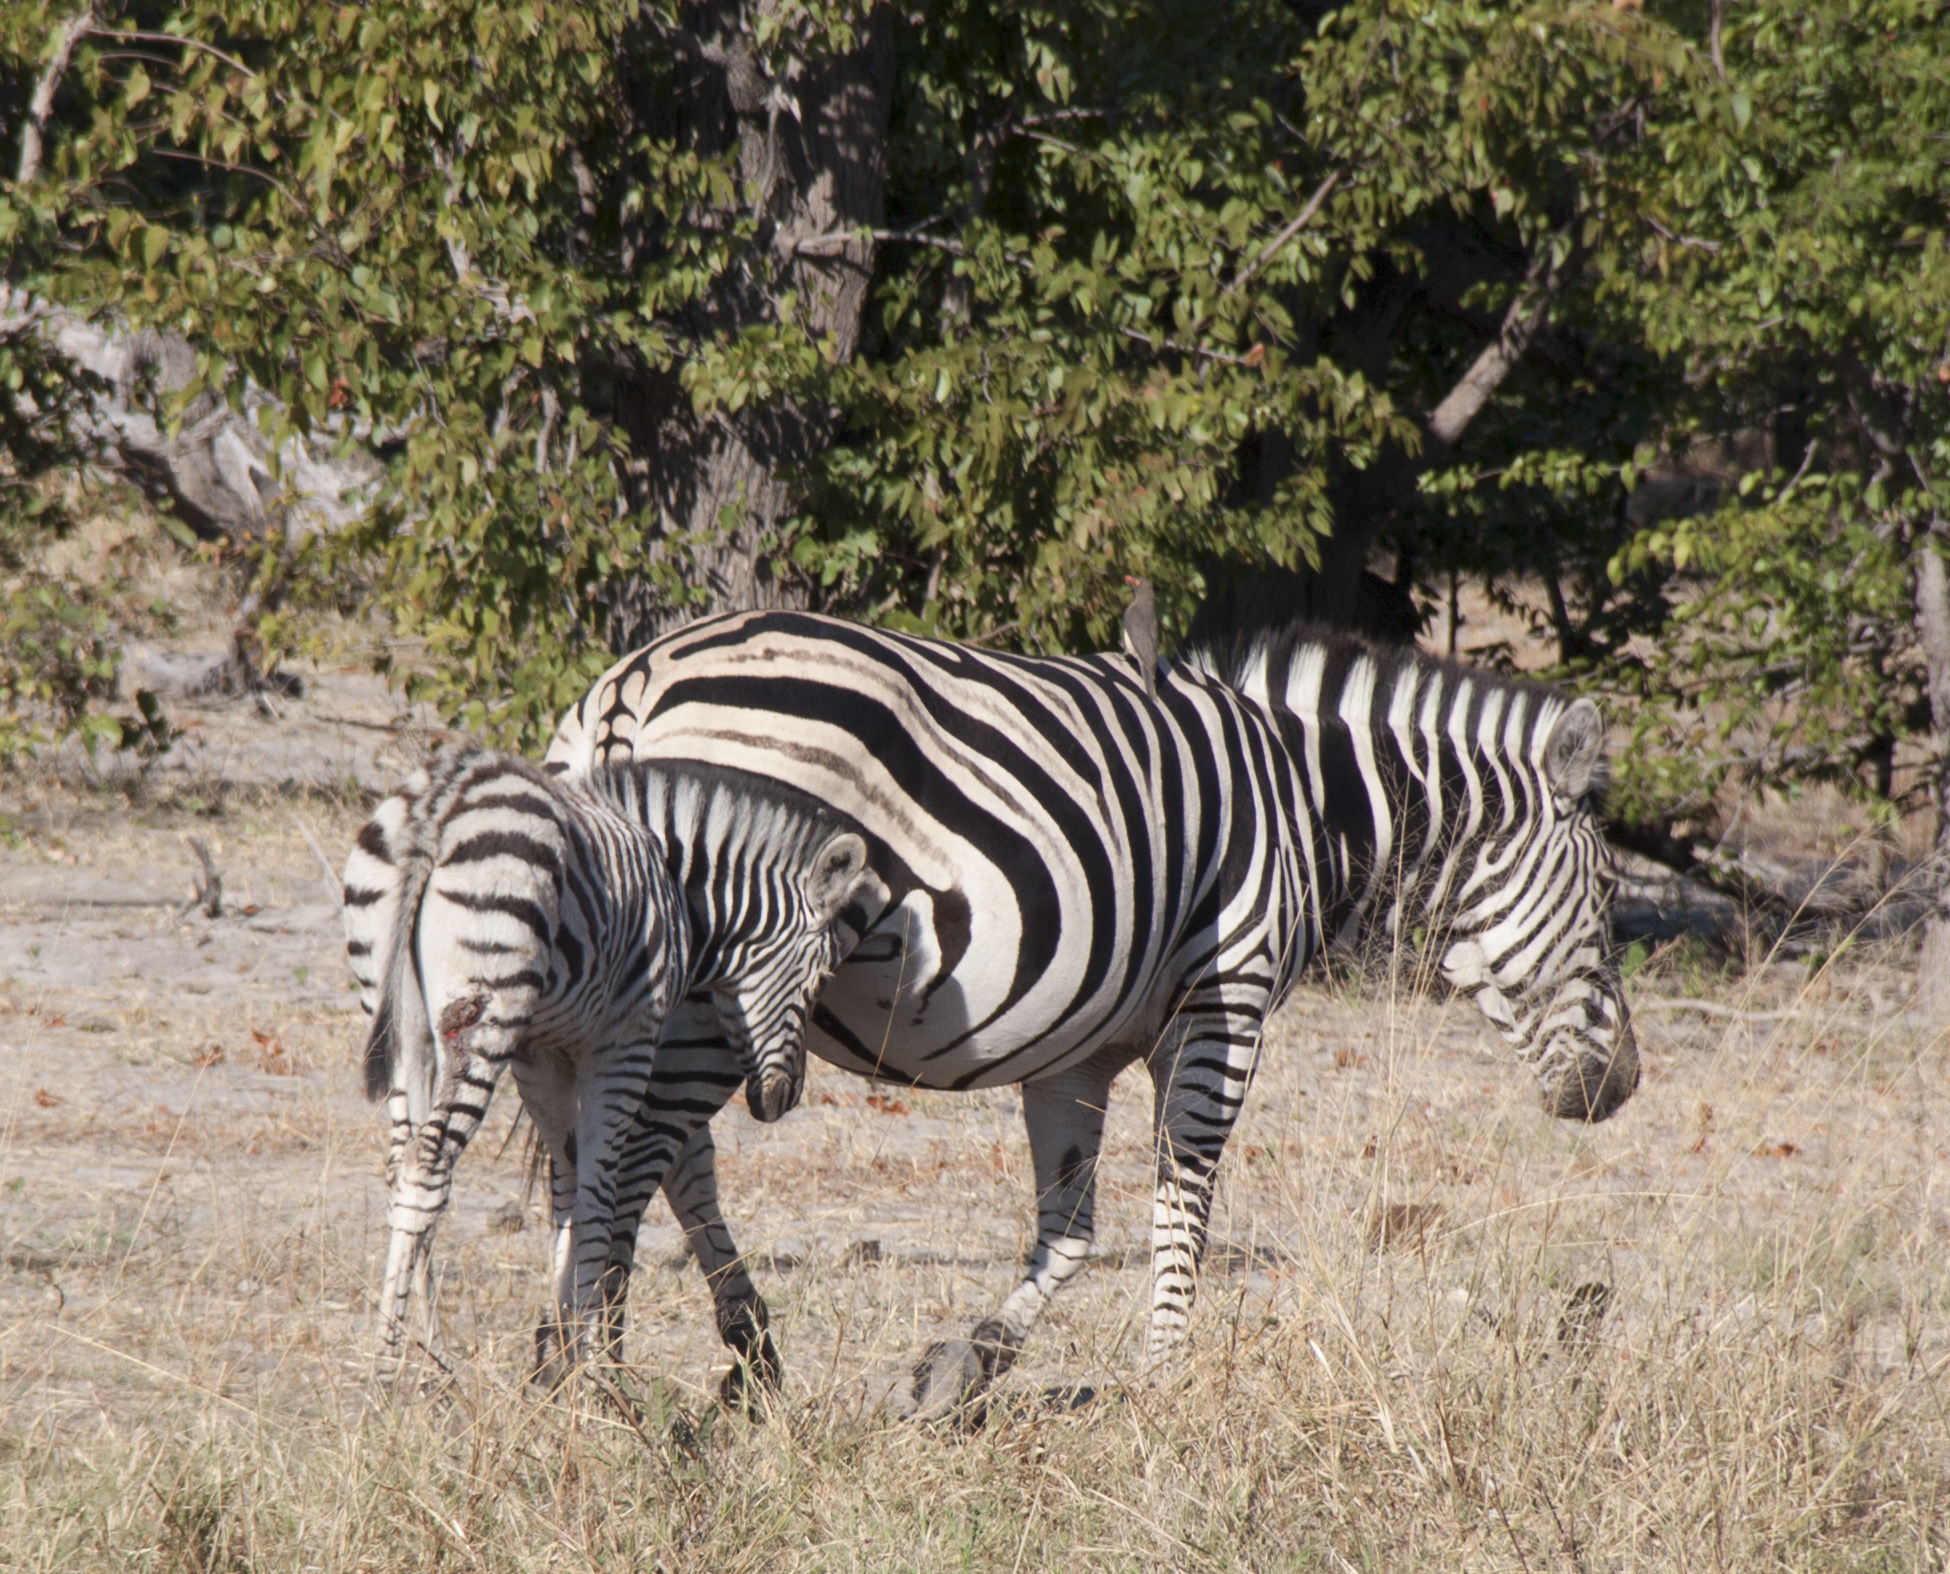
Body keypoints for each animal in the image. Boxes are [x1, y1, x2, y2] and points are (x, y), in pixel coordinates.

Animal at [342, 747, 888, 1381]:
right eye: (821, 979)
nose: (783, 1100)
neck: (677, 889)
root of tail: (444, 800)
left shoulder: (543, 1053)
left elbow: (568, 1191)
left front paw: (560, 1353)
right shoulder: (626, 1039)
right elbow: (600, 1195)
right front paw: (590, 1371)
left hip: (403, 1021)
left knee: (400, 1163)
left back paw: (427, 1357)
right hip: (487, 1010)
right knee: (428, 1163)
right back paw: (388, 1369)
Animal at [543, 608, 1638, 1415]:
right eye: (1603, 892)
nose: (1622, 1085)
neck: (1306, 805)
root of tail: (633, 681)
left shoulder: (1075, 1047)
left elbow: (1069, 1227)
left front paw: (965, 1367)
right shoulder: (1223, 1003)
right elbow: (1184, 1196)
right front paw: (1167, 1384)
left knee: (627, 1151)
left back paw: (684, 1349)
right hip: (731, 971)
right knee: (638, 1157)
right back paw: (600, 1369)